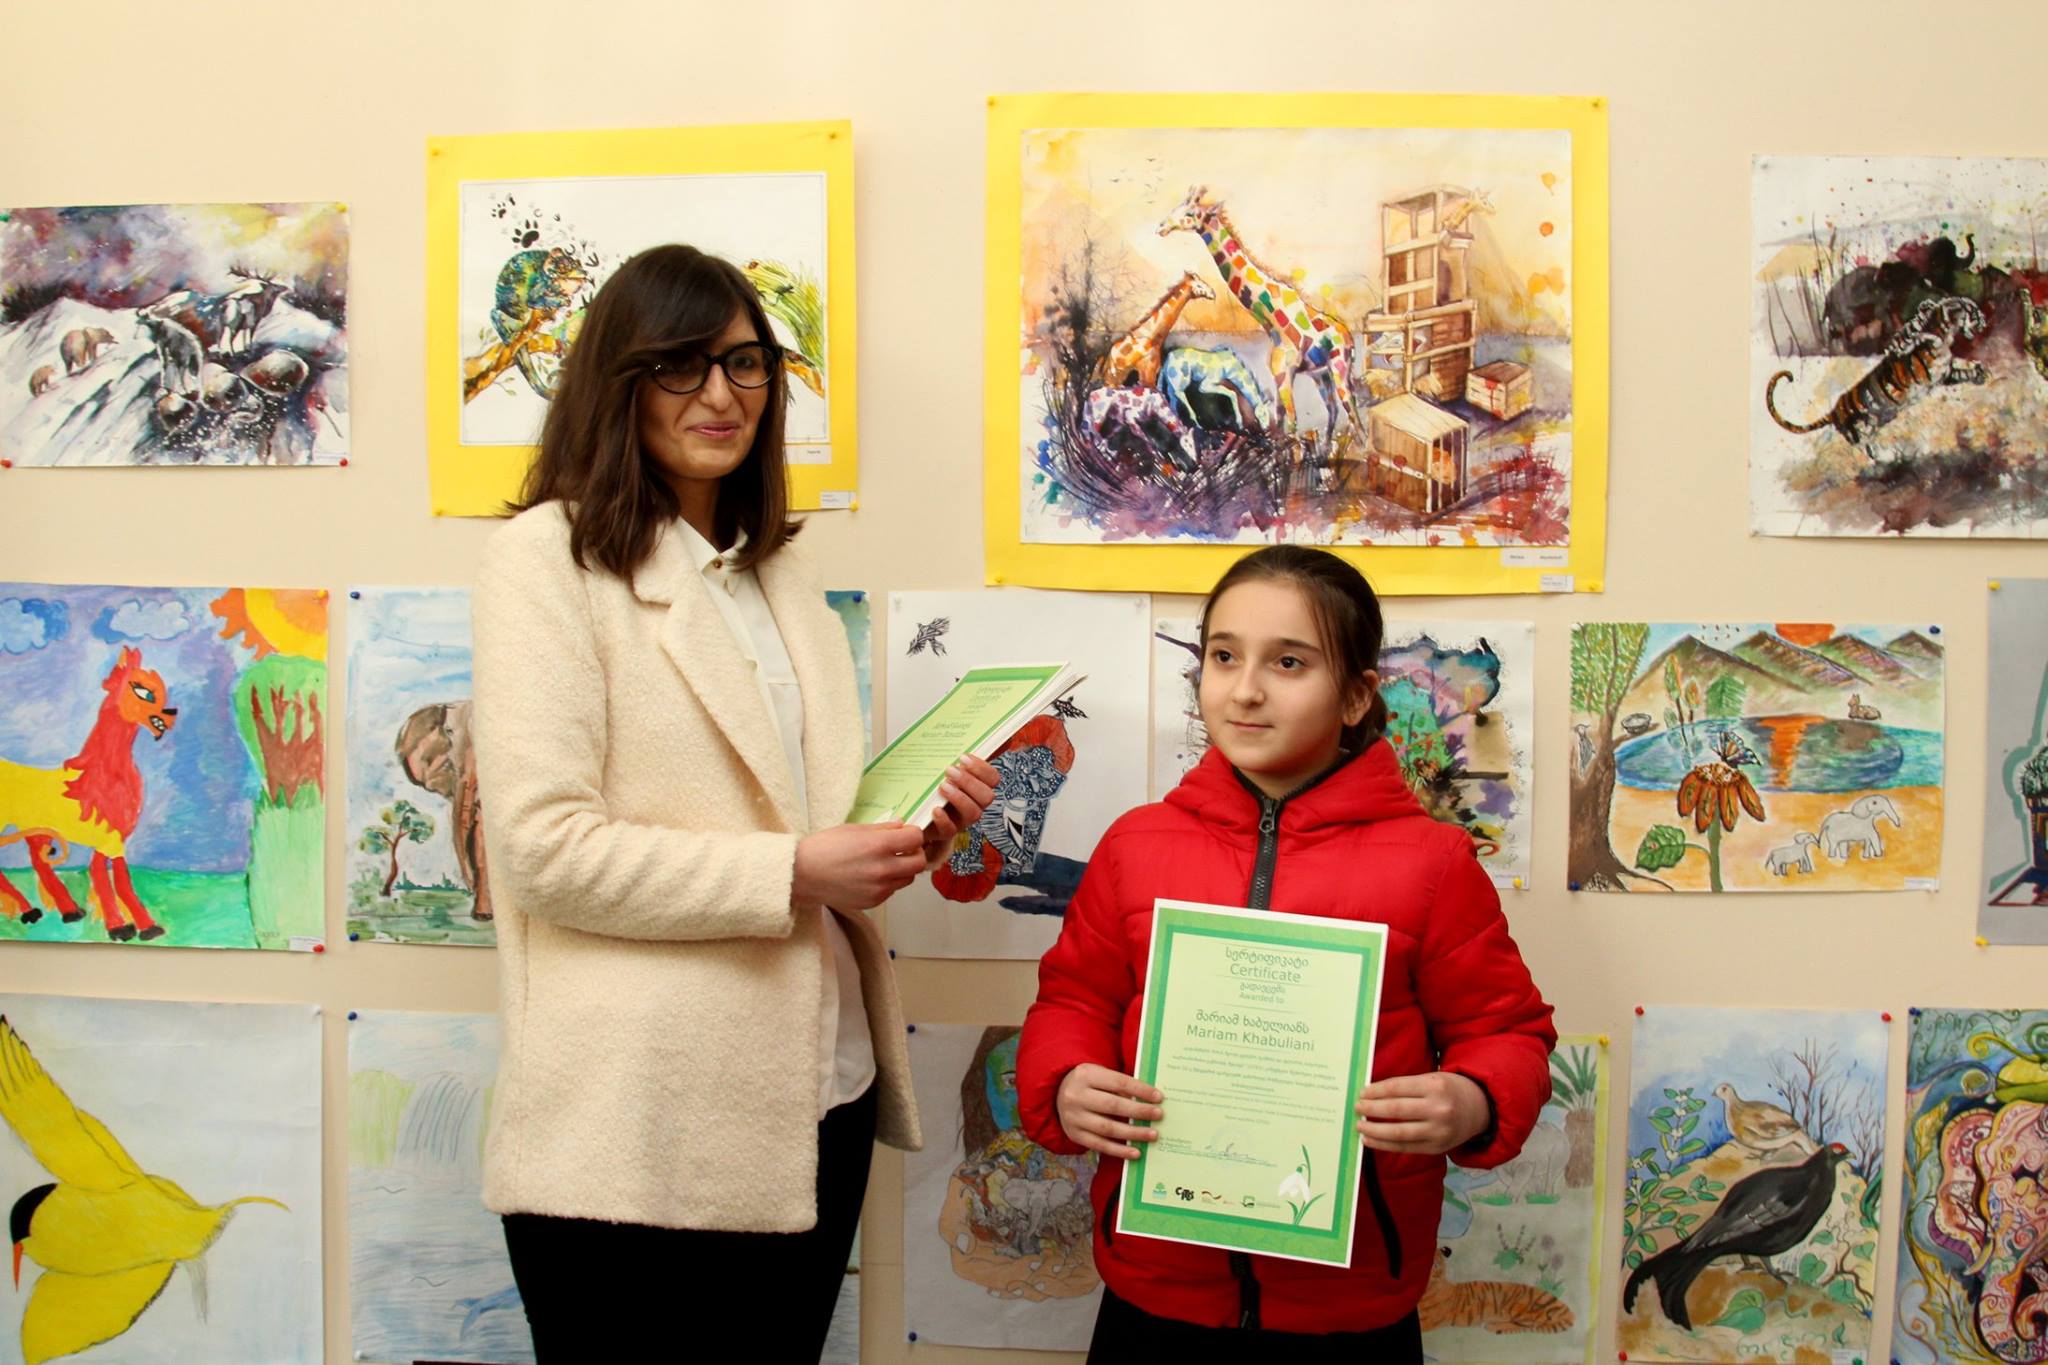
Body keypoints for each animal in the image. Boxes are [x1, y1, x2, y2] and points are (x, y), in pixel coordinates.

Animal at [1159, 186, 1370, 445]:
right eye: (1177, 207)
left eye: (1190, 213)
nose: (1161, 227)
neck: (1271, 317)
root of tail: (1349, 337)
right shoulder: (1278, 374)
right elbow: (1279, 421)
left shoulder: (1284, 373)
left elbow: (1291, 426)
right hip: (1321, 374)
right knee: (1333, 410)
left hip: (1340, 368)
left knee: (1354, 417)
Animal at [1765, 295, 1988, 451]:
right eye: (1975, 312)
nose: (1985, 321)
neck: (1944, 335)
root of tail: (1834, 411)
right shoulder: (1937, 376)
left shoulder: (1947, 367)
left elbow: (1964, 365)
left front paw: (1981, 371)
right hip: (1861, 429)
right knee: (1863, 449)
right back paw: (1883, 457)